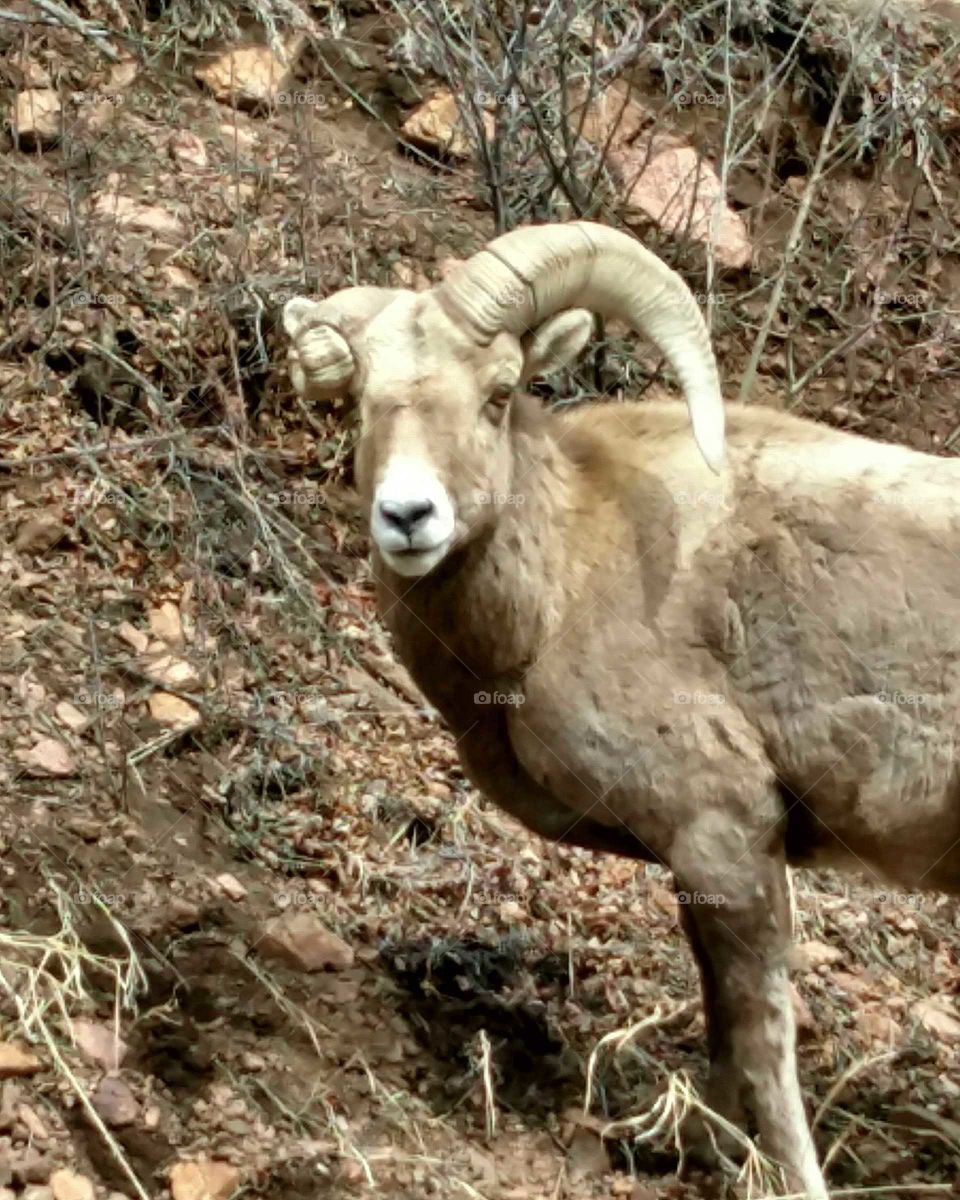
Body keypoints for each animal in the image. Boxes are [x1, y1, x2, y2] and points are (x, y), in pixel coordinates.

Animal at [282, 219, 960, 1199]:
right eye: (364, 402)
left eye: (499, 391)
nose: (409, 517)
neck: (564, 582)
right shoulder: (697, 860)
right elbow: (720, 1026)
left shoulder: (726, 837)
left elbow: (760, 1036)